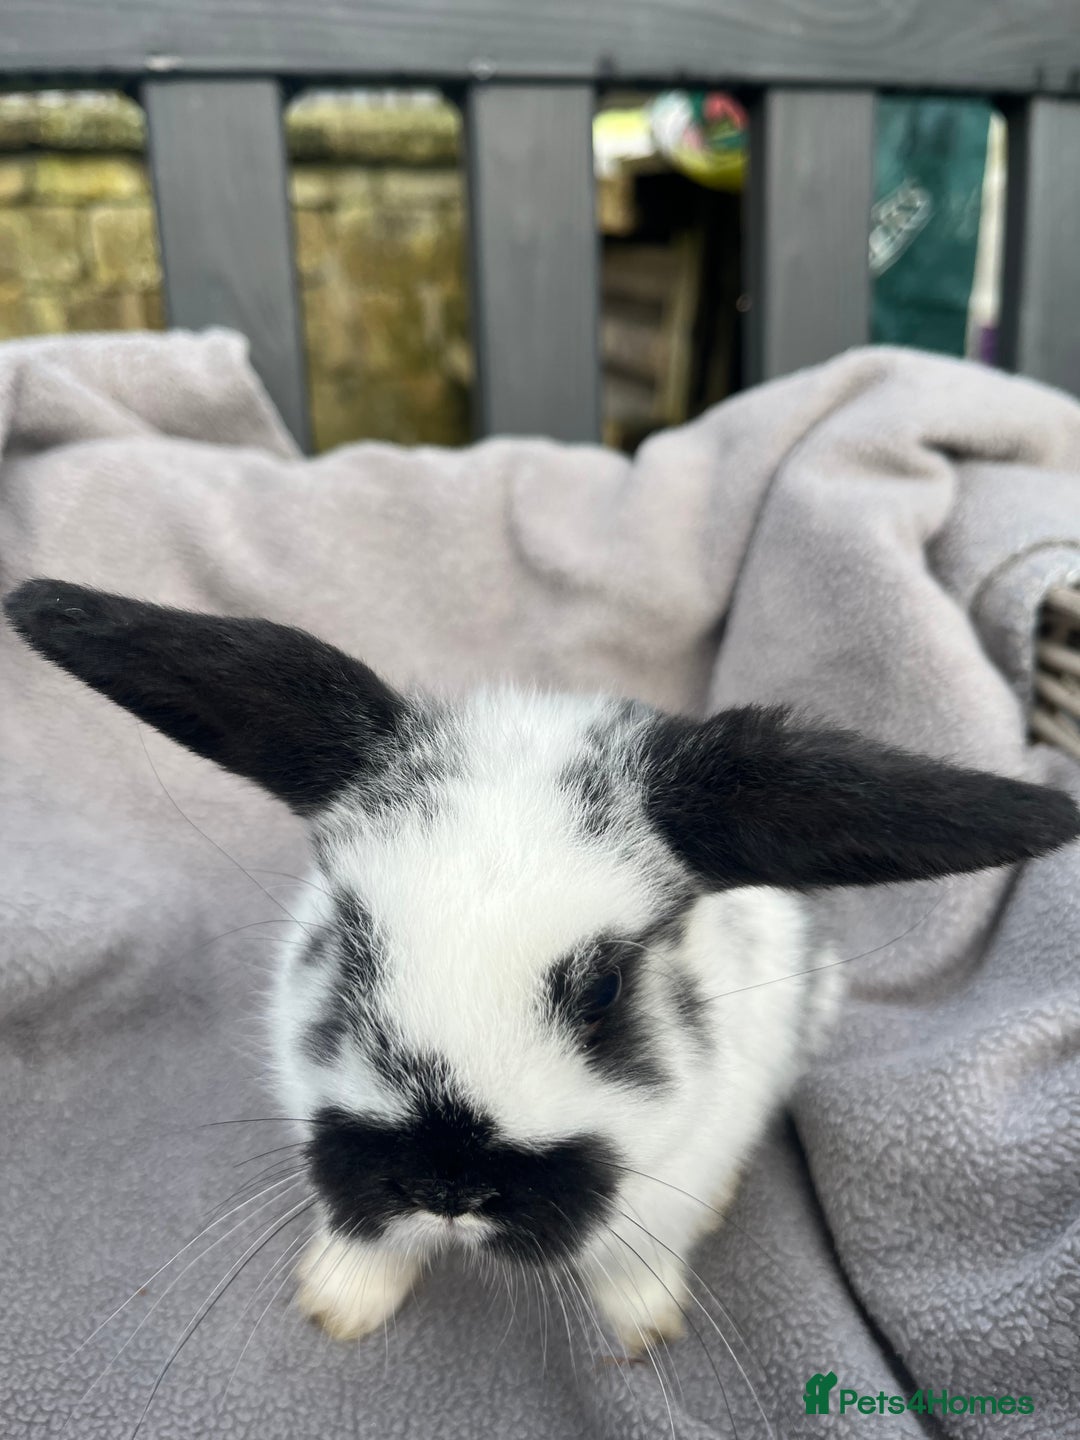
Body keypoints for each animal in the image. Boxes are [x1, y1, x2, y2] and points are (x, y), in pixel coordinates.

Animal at [6, 577, 1078, 1355]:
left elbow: (635, 1258)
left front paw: (643, 1332)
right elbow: (355, 1237)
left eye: (605, 990)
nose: (445, 1186)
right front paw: (339, 1304)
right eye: (351, 946)